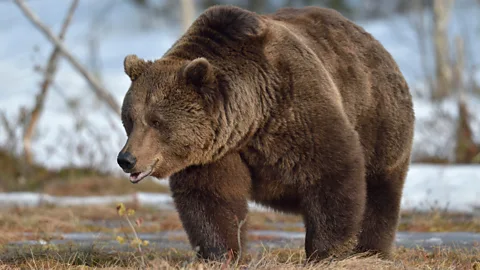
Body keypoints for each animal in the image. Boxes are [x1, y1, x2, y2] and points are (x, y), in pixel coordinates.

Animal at [116, 4, 412, 264]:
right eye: (129, 119)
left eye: (156, 120)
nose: (126, 159)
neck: (251, 118)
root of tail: (374, 43)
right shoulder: (217, 150)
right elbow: (211, 199)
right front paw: (221, 254)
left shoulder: (296, 107)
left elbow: (332, 173)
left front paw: (327, 252)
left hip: (378, 120)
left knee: (379, 191)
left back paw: (371, 251)